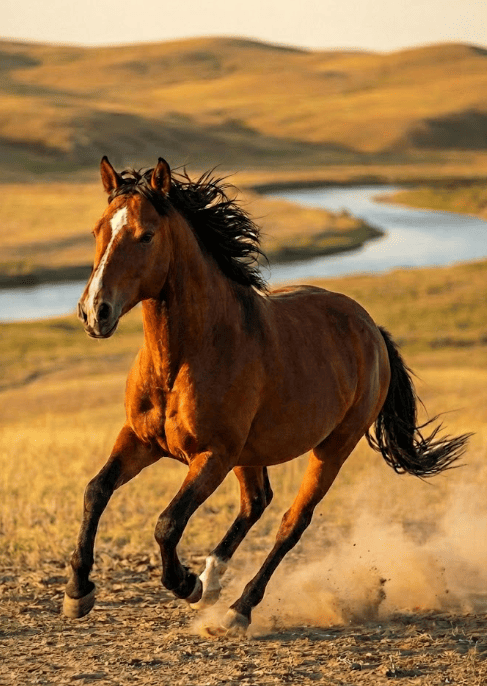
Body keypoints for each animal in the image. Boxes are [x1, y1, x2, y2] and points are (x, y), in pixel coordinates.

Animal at [64, 156, 469, 634]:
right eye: (97, 230)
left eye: (146, 235)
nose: (94, 312)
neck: (186, 356)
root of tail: (371, 329)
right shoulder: (141, 439)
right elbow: (96, 491)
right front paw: (77, 592)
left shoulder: (213, 456)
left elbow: (167, 523)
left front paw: (185, 584)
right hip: (250, 452)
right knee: (256, 501)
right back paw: (214, 582)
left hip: (332, 448)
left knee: (291, 522)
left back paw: (236, 609)